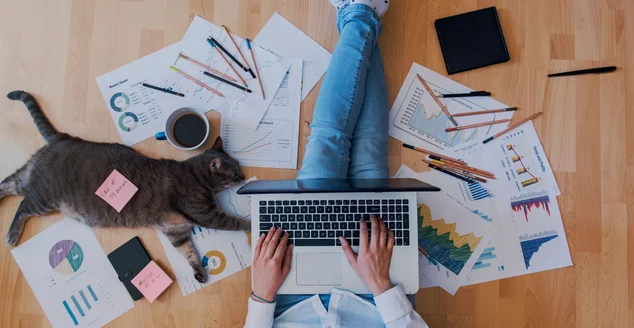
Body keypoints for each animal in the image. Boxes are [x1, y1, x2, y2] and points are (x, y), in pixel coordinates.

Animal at [1, 91, 248, 284]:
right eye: (235, 172)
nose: (244, 176)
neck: (195, 176)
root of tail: (62, 137)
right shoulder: (207, 215)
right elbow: (235, 222)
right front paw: (251, 223)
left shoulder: (175, 231)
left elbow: (189, 252)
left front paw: (199, 272)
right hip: (44, 196)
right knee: (23, 205)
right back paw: (12, 235)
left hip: (28, 177)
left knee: (7, 183)